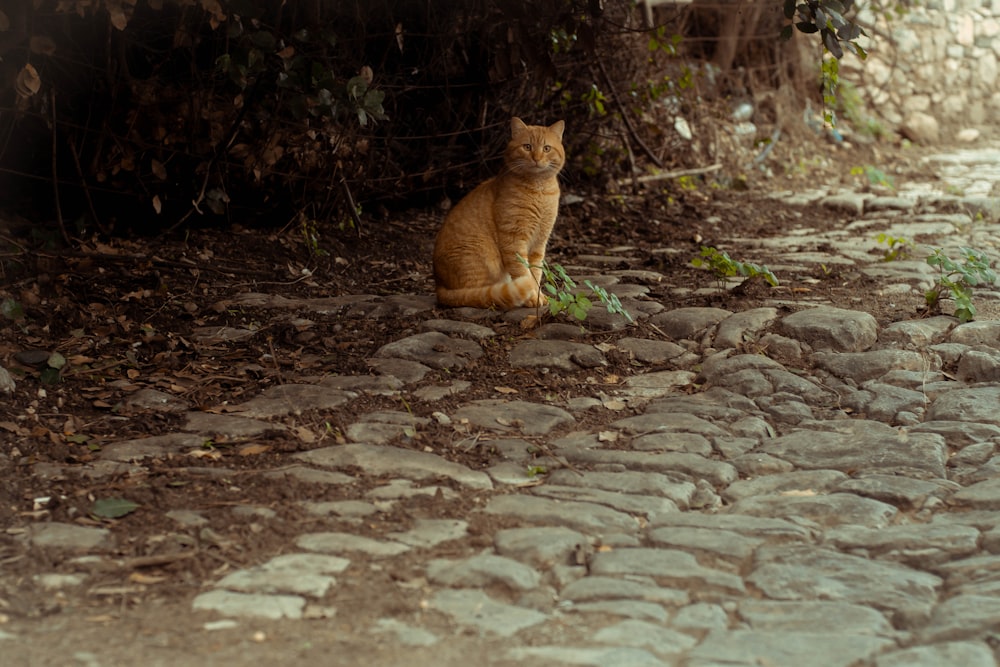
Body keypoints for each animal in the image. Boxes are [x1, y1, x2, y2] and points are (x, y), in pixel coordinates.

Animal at [434, 117, 568, 310]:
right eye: (527, 147)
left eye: (546, 148)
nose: (536, 158)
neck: (539, 189)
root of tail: (438, 286)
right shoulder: (513, 239)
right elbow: (523, 272)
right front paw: (533, 297)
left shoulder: (539, 243)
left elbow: (536, 272)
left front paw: (539, 295)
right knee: (479, 295)